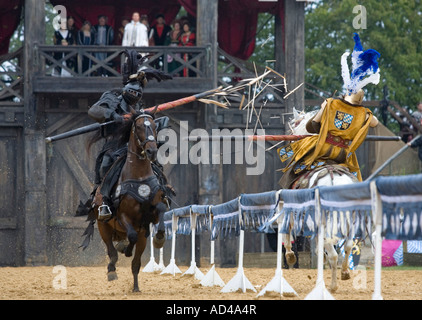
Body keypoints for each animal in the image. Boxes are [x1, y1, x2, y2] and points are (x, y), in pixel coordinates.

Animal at [94, 110, 166, 292]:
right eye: (139, 127)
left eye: (154, 126)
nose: (151, 151)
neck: (139, 176)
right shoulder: (124, 217)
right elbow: (131, 235)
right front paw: (125, 250)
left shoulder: (151, 216)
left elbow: (162, 210)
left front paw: (159, 238)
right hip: (103, 226)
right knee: (112, 252)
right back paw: (112, 270)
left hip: (140, 236)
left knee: (135, 262)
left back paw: (135, 287)